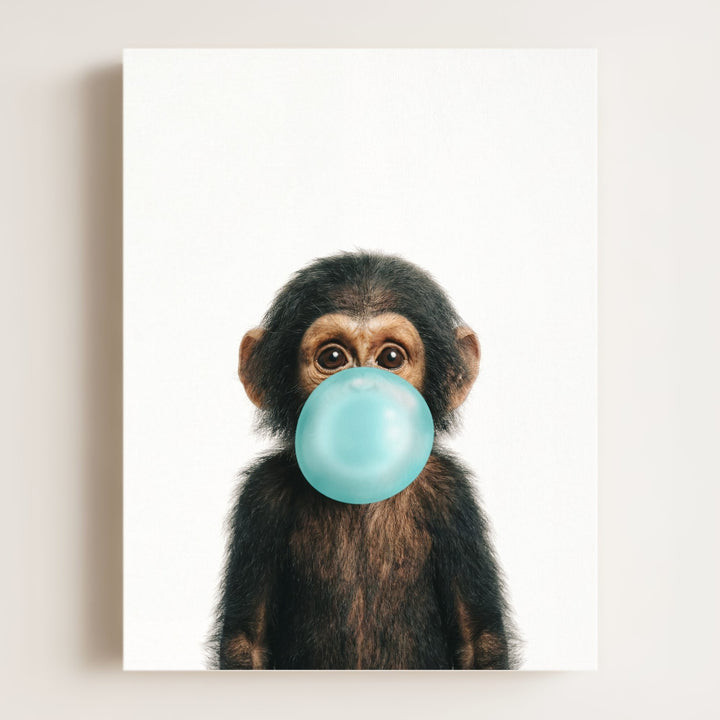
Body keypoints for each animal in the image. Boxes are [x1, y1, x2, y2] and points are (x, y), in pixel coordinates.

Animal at [210, 251, 520, 670]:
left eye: (390, 357)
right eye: (332, 357)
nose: (362, 388)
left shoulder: (452, 494)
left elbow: (479, 640)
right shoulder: (261, 496)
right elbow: (246, 640)